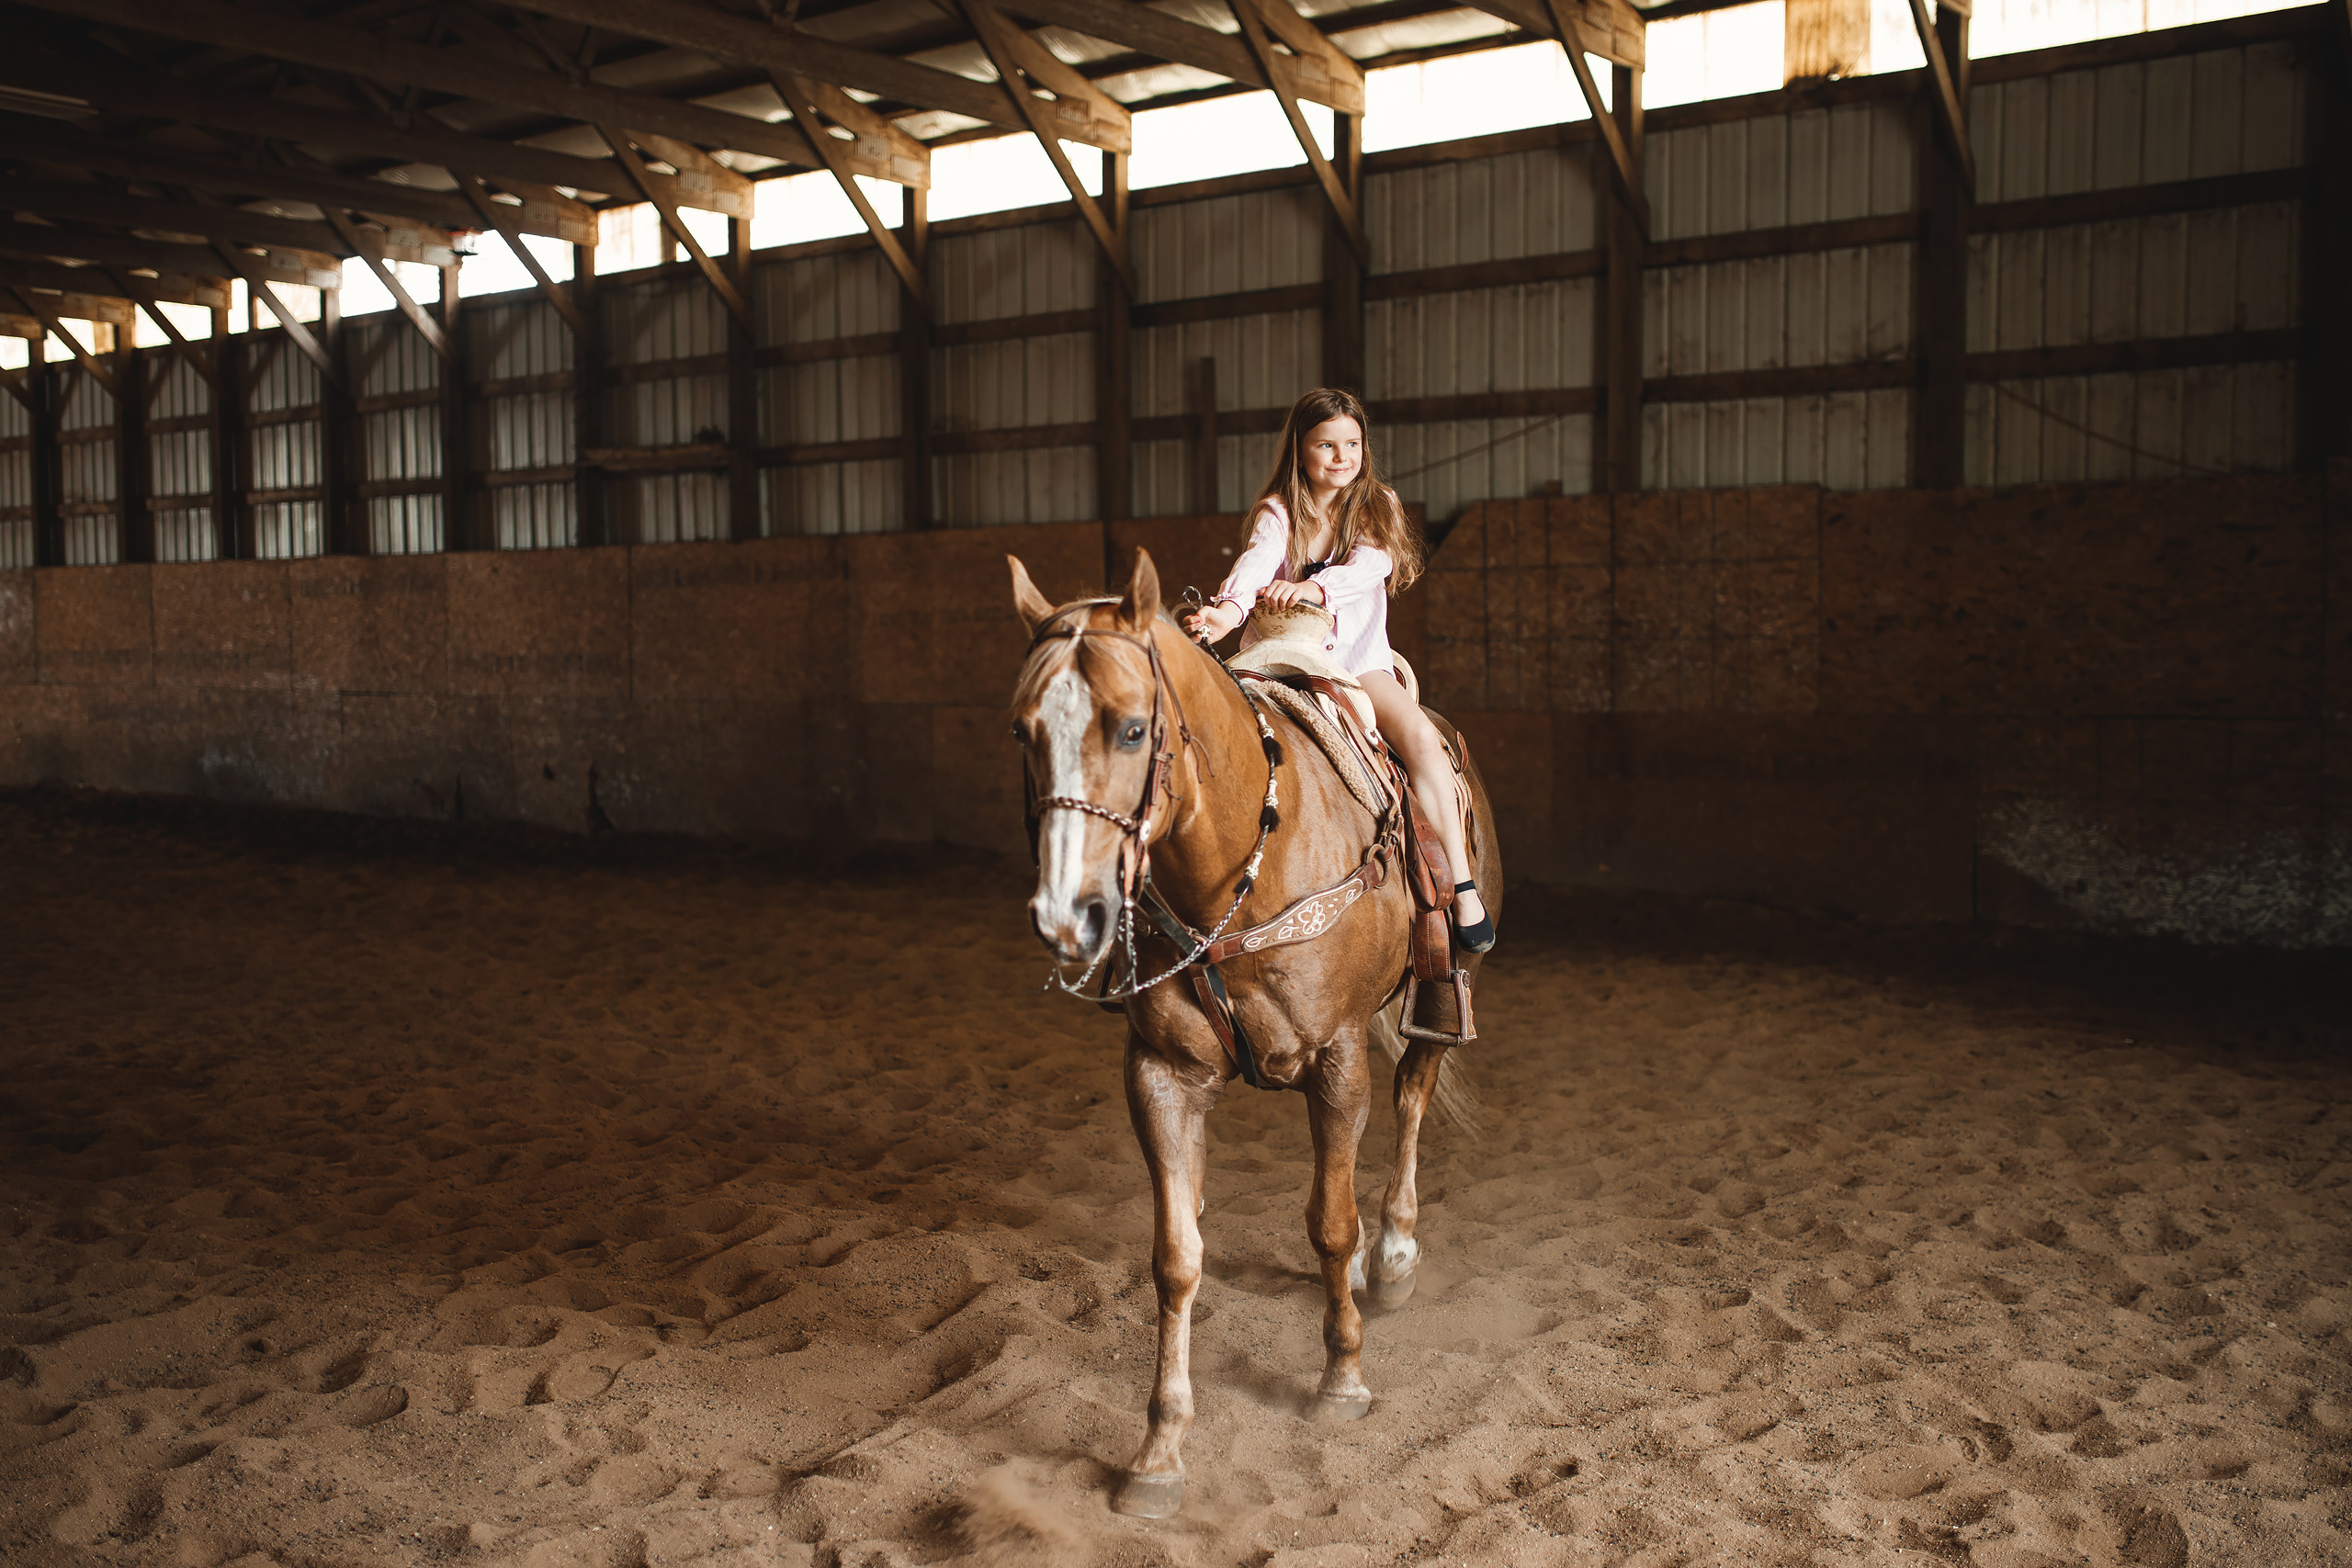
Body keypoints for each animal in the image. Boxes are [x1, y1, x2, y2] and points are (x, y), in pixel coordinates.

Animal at [1005, 546, 1500, 1518]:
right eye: (1024, 732)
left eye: (1132, 730)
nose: (1065, 913)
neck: (1239, 858)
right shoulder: (1159, 1074)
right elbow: (1176, 1256)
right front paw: (1159, 1450)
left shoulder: (1338, 1060)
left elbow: (1331, 1222)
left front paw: (1342, 1376)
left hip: (1438, 991)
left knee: (1413, 1098)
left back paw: (1394, 1256)